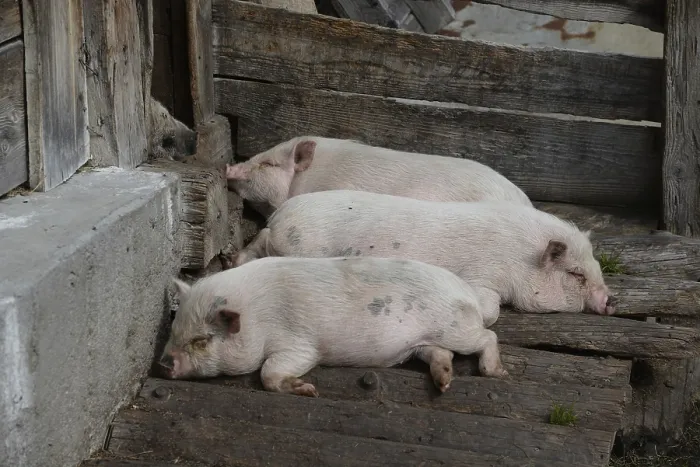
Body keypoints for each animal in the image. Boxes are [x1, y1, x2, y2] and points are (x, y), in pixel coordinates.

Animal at [159, 256, 508, 396]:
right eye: (174, 327)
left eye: (202, 340)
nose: (163, 364)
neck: (256, 316)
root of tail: (469, 294)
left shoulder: (300, 345)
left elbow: (268, 372)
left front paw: (309, 391)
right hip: (419, 343)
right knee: (440, 355)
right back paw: (444, 383)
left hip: (456, 327)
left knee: (487, 335)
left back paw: (497, 373)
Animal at [231, 190, 616, 326]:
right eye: (576, 274)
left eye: (597, 266)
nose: (611, 300)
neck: (520, 258)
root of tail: (280, 218)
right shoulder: (482, 275)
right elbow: (490, 310)